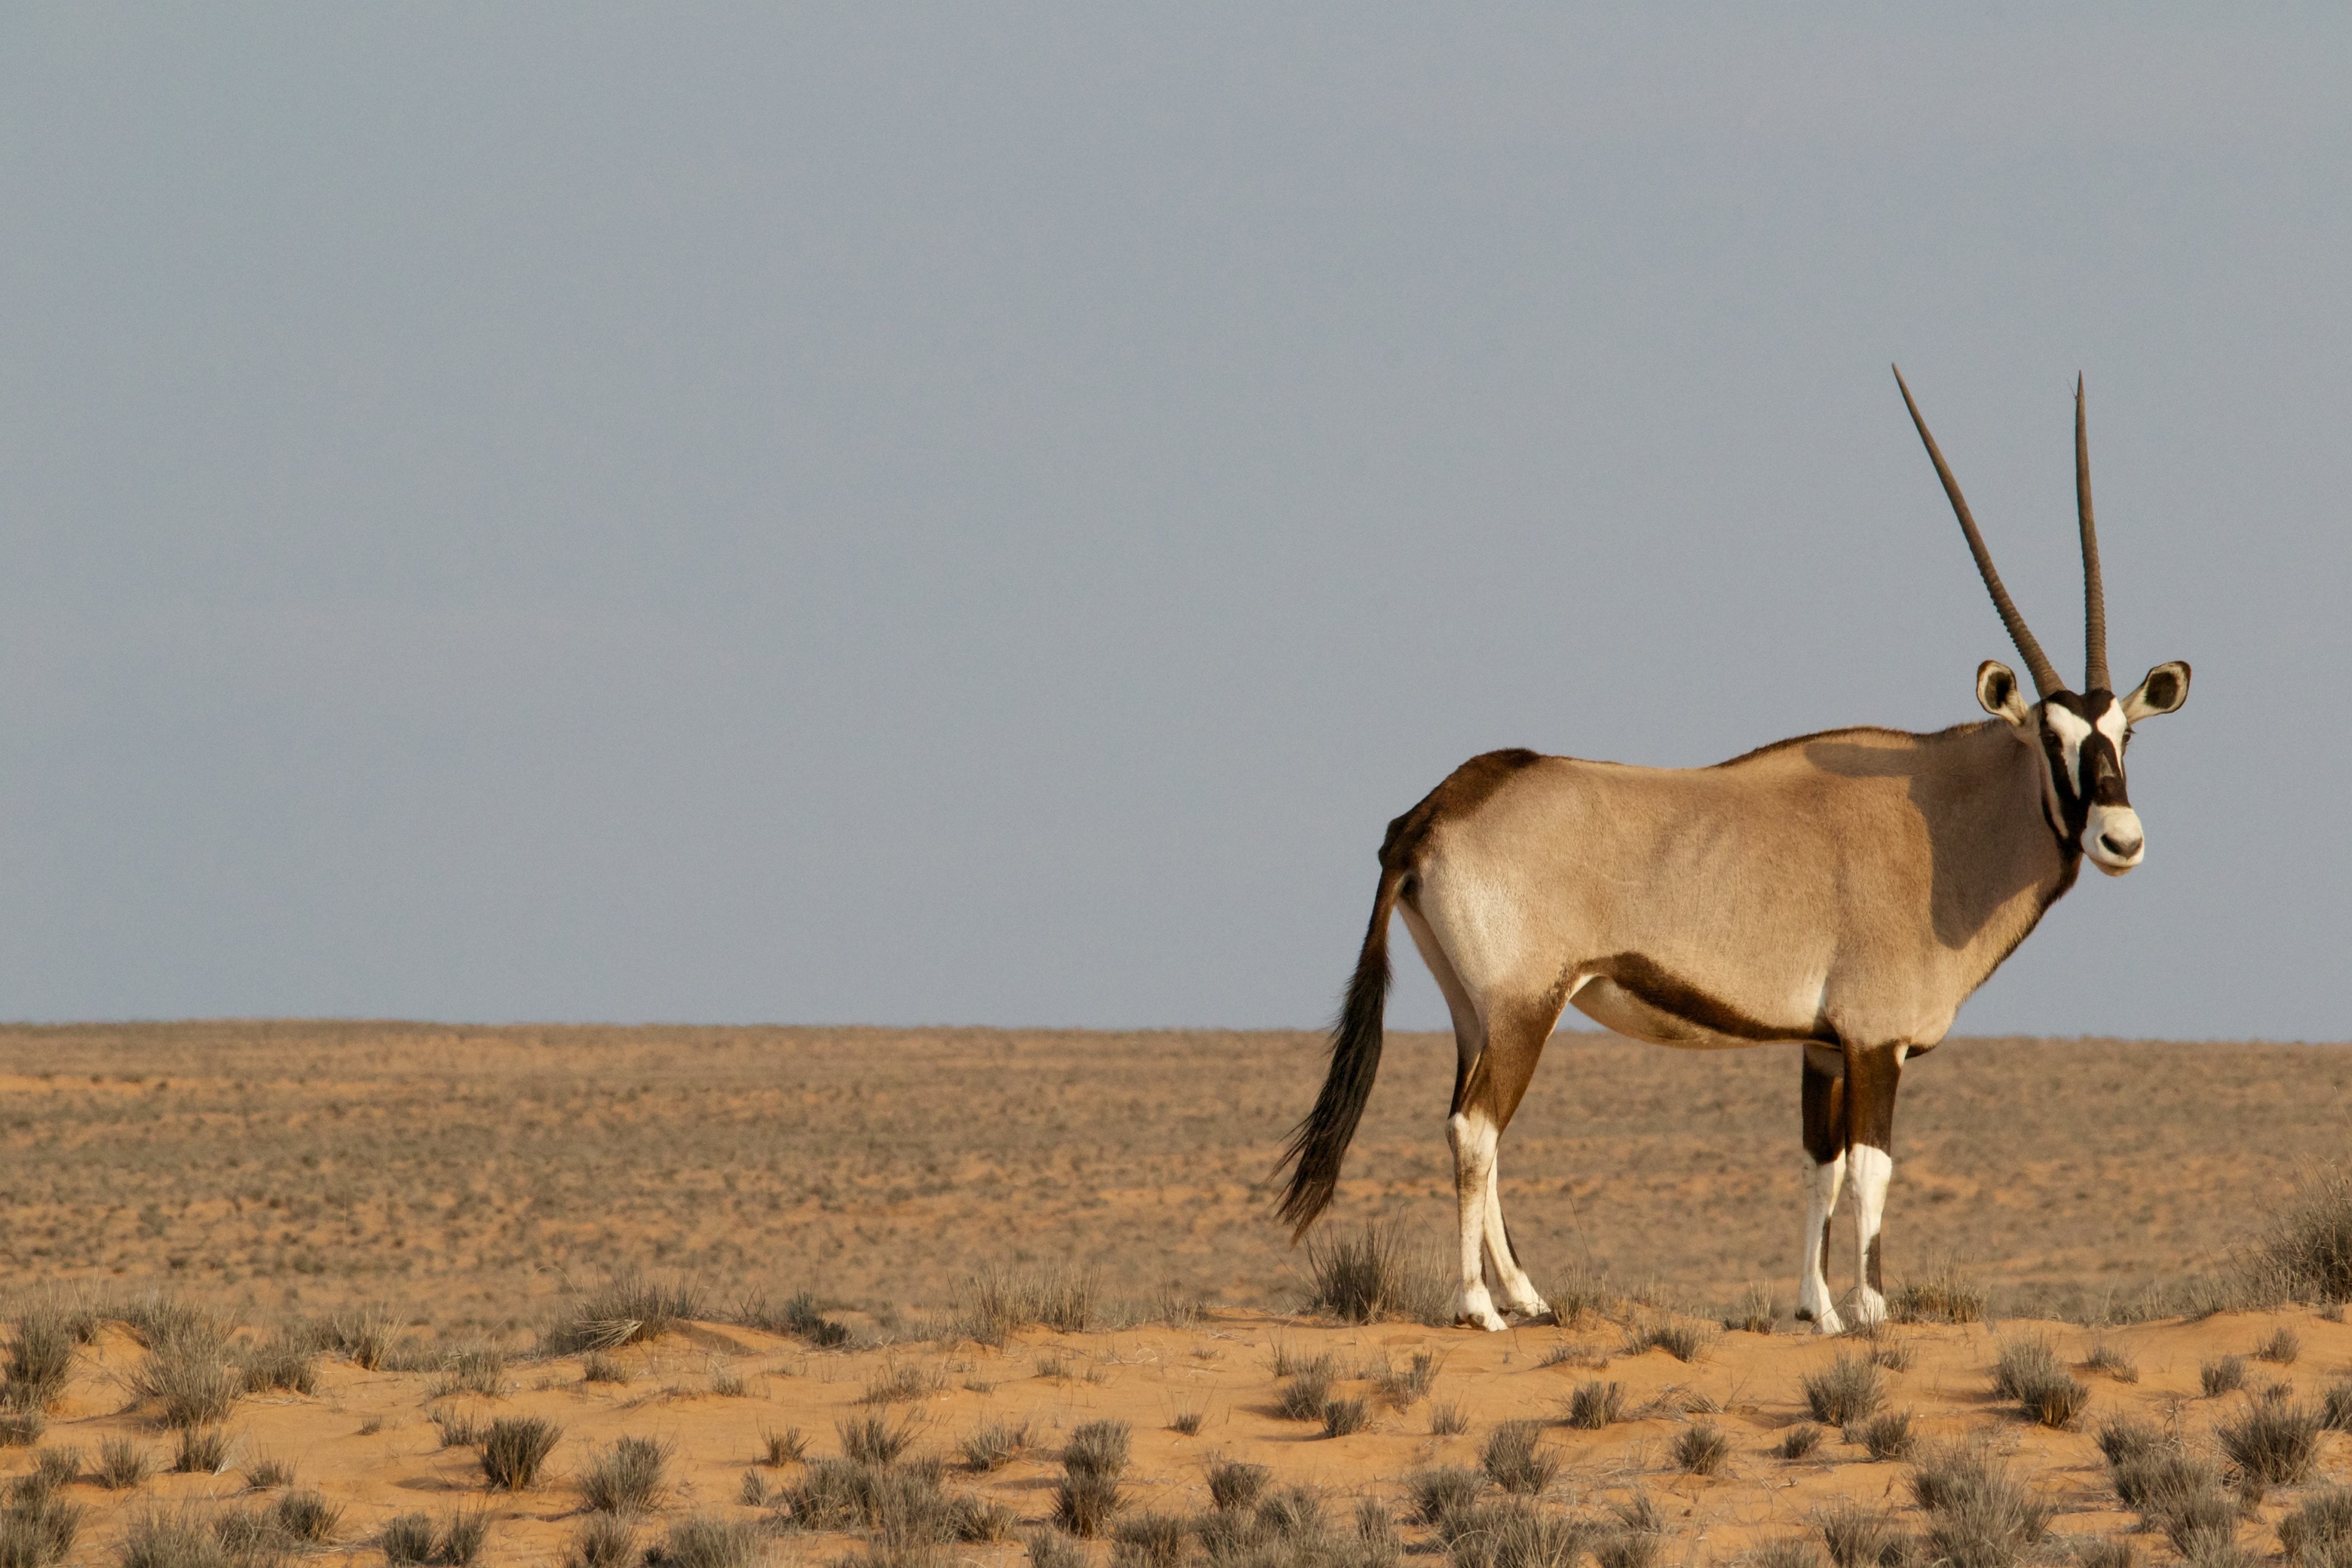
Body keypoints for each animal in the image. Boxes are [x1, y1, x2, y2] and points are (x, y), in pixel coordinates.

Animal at [1275, 368, 2191, 1333]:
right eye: (2051, 739)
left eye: (2124, 733)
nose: (2120, 838)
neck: (1939, 818)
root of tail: (1431, 811)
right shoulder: (1876, 1042)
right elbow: (1873, 1172)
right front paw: (1871, 1310)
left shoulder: (1822, 1045)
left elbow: (1821, 1169)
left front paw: (1818, 1311)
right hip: (1526, 1006)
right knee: (1476, 1128)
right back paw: (1479, 1306)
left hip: (1473, 1011)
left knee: (1471, 1122)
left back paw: (1528, 1294)